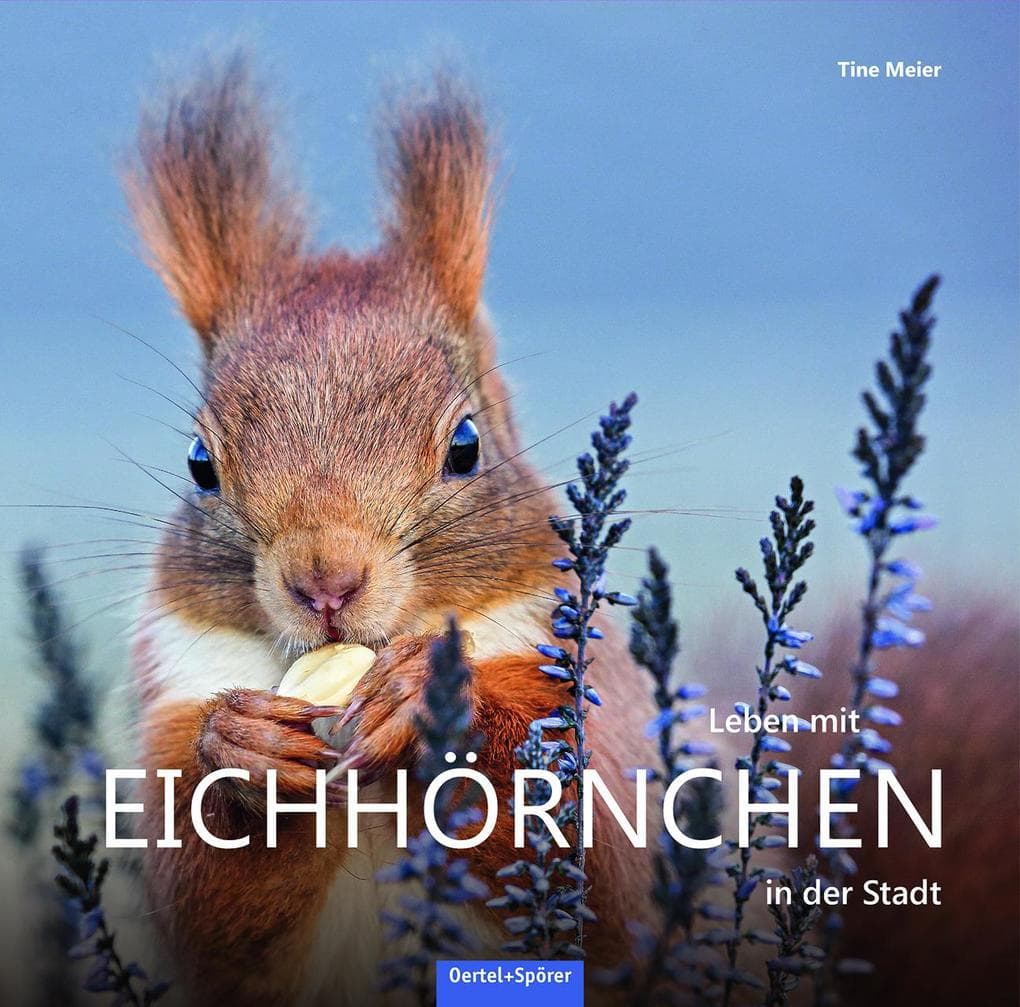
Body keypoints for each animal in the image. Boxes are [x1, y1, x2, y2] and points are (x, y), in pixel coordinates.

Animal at [126, 55, 655, 1005]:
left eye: (466, 445)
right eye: (198, 462)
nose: (325, 582)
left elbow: (604, 868)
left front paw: (432, 698)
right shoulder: (174, 700)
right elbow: (207, 906)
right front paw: (243, 750)